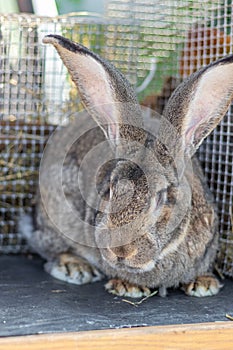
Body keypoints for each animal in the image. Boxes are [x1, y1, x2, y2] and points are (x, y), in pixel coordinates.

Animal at [20, 34, 233, 298]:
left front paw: (204, 284)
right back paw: (76, 267)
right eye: (110, 190)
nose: (120, 251)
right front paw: (128, 287)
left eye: (161, 197)